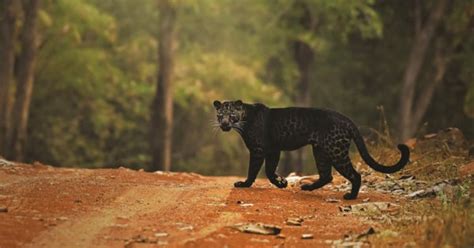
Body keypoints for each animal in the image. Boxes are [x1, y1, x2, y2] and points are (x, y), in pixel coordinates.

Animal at [213, 100, 410, 199]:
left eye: (231, 114)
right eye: (220, 115)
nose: (224, 124)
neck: (244, 120)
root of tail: (346, 119)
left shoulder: (259, 150)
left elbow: (255, 170)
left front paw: (244, 184)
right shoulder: (273, 150)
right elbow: (269, 170)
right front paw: (282, 182)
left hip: (336, 151)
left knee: (355, 175)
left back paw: (350, 196)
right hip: (321, 151)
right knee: (326, 175)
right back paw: (308, 187)